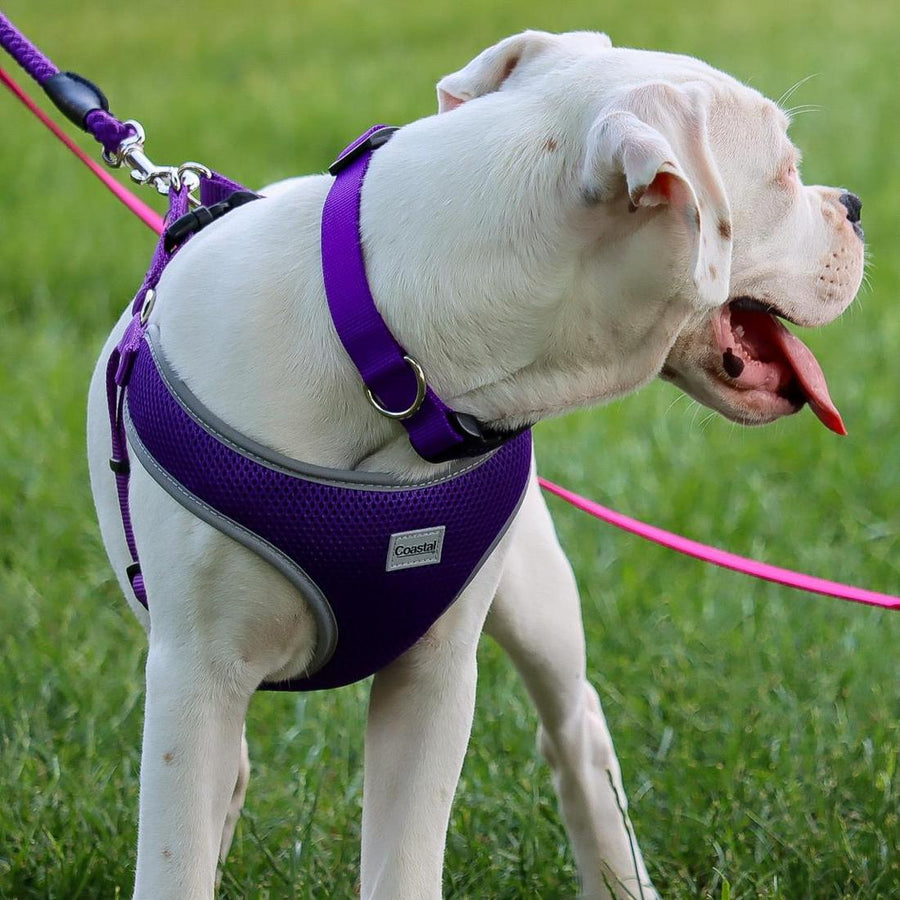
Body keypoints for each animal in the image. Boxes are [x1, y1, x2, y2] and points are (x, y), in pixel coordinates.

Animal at [86, 29, 864, 900]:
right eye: (786, 172)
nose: (855, 206)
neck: (394, 362)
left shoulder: (433, 676)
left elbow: (404, 863)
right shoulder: (195, 679)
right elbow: (177, 855)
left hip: (538, 596)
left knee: (575, 731)